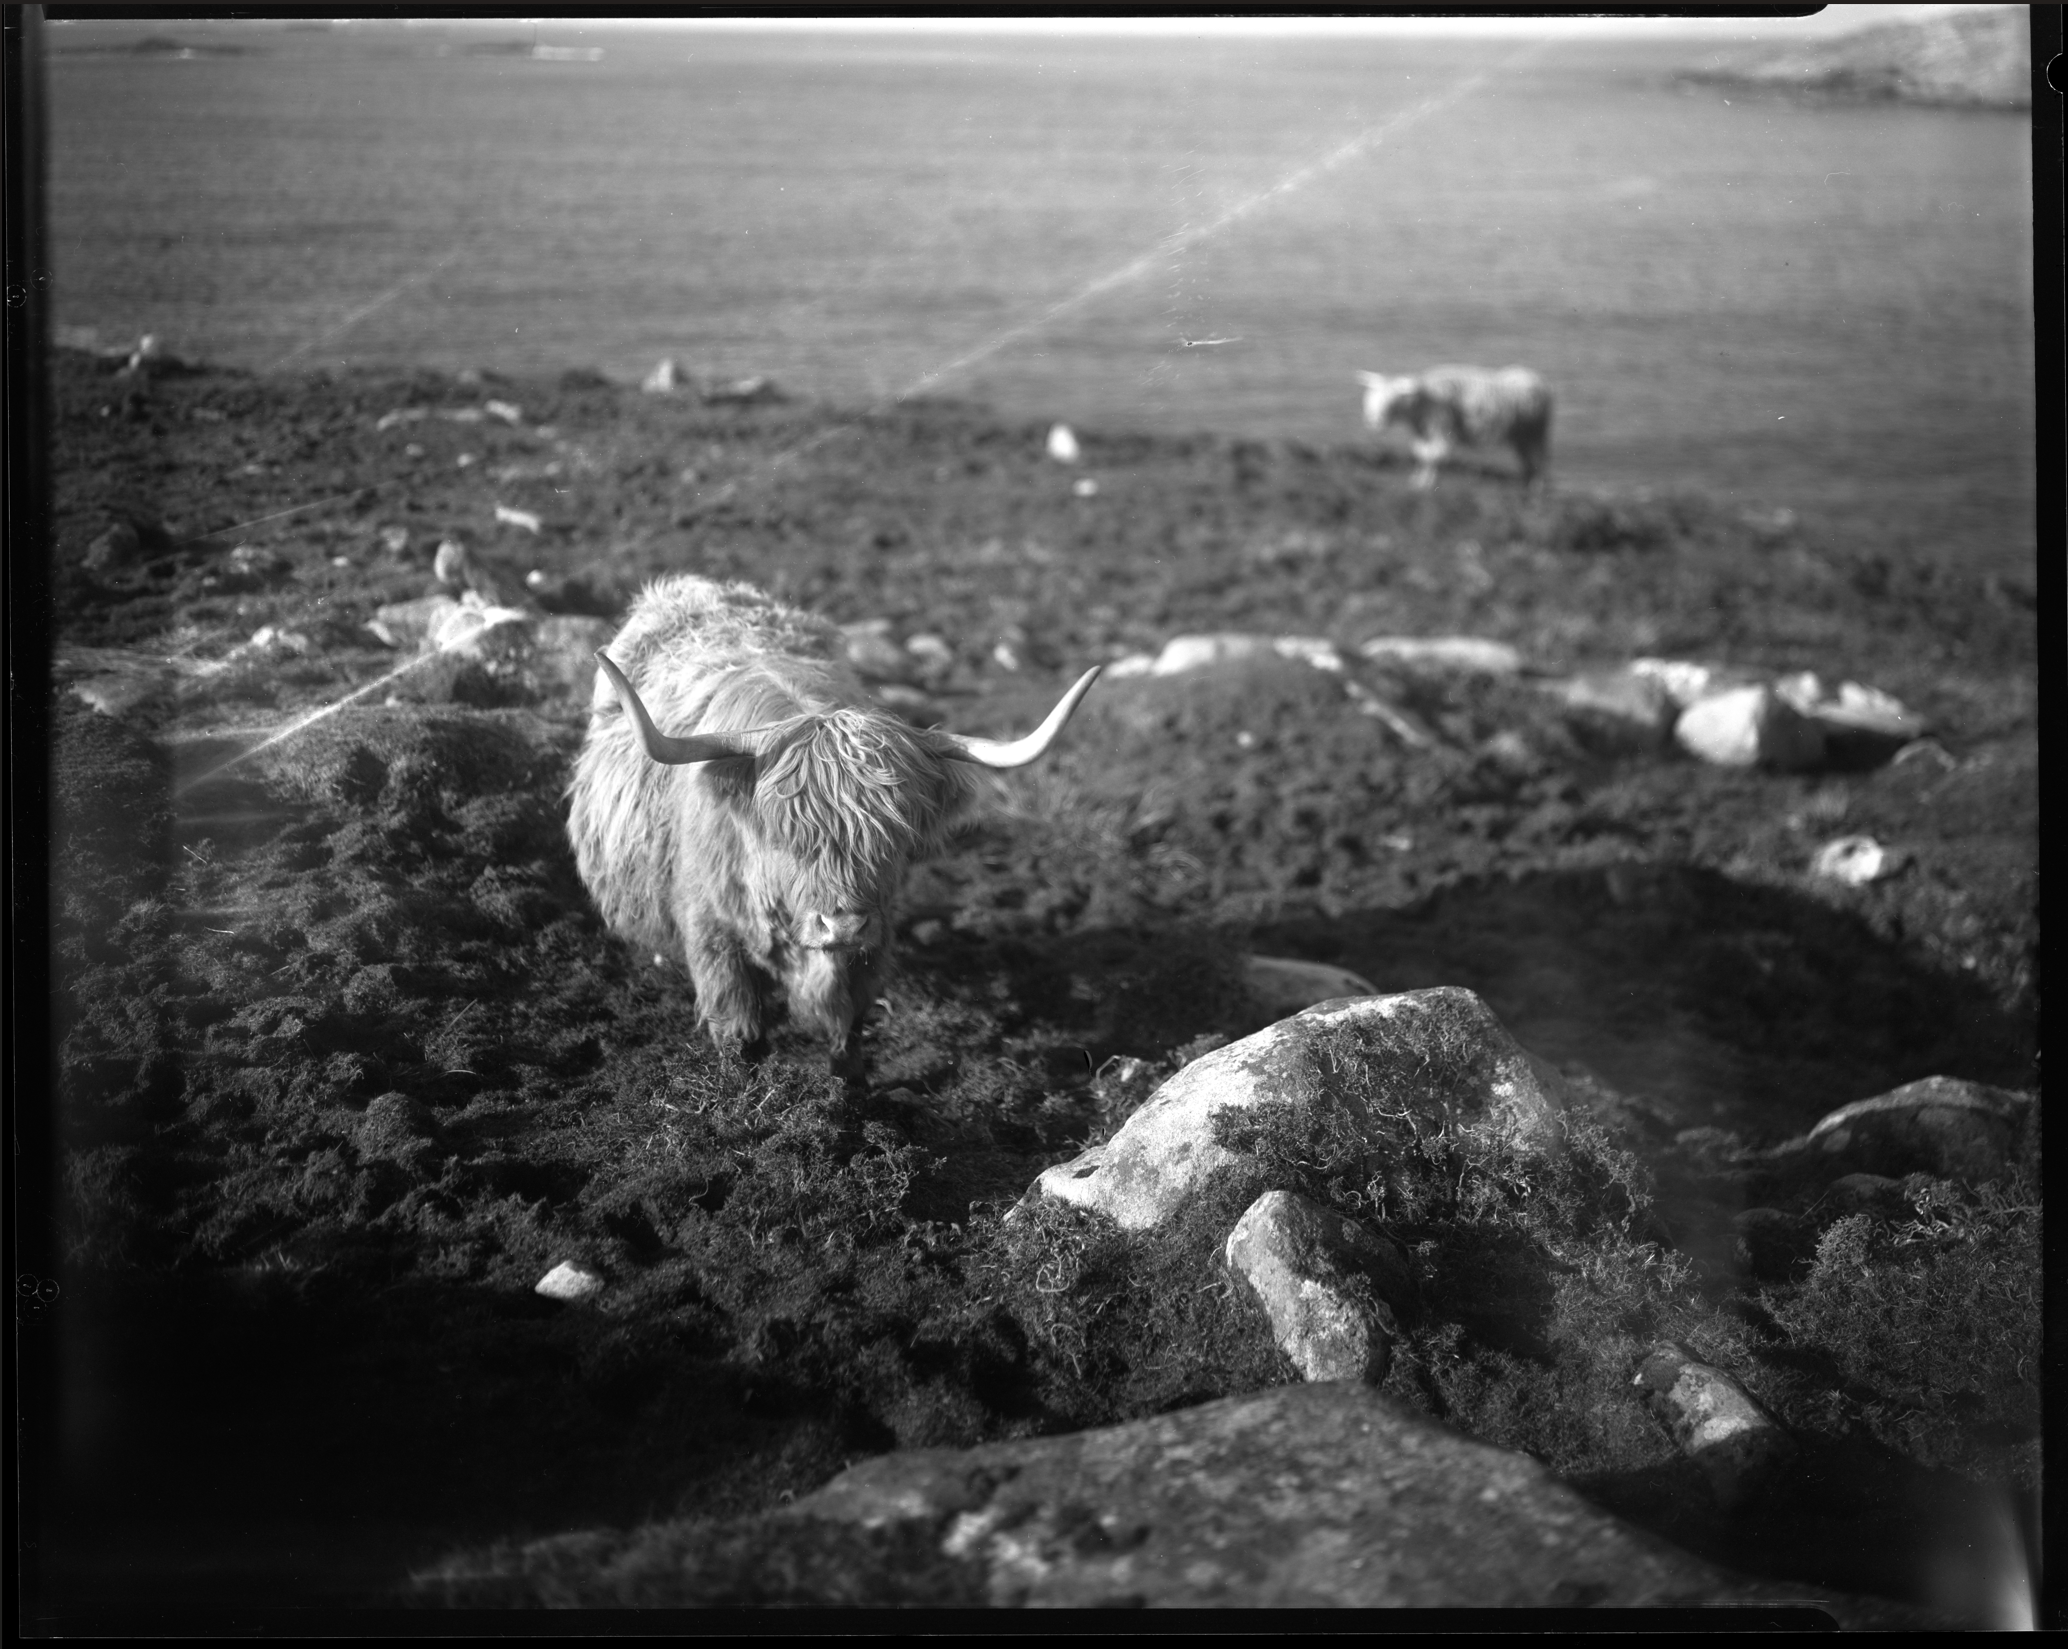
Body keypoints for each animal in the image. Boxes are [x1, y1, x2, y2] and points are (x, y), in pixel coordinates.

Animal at [567, 574, 1100, 1073]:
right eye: (785, 834)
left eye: (893, 836)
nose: (842, 925)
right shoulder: (713, 937)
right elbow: (739, 1034)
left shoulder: (874, 942)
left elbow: (850, 1027)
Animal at [1356, 366, 1553, 489]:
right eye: (1371, 396)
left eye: (1393, 399)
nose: (1373, 421)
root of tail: (1536, 377)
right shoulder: (1424, 430)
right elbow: (1422, 454)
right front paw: (1418, 479)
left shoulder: (1441, 428)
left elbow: (1435, 456)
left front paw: (1428, 482)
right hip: (1522, 434)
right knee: (1527, 458)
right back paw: (1526, 483)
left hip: (1537, 431)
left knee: (1539, 457)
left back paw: (1537, 486)